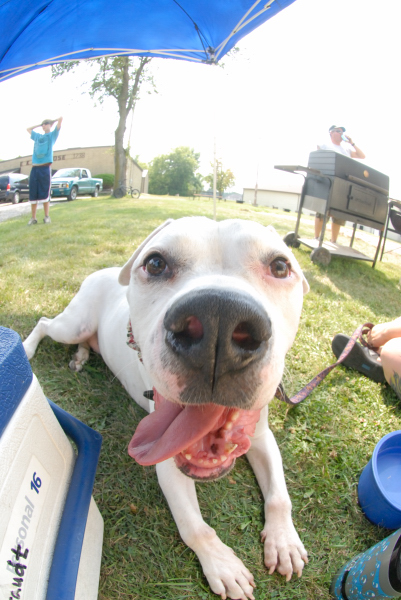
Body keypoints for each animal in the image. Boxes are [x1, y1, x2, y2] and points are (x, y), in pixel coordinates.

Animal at [22, 217, 310, 600]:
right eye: (156, 263)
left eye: (280, 266)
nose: (219, 320)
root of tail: (102, 271)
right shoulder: (165, 457)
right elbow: (194, 526)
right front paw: (224, 565)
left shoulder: (262, 438)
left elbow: (279, 495)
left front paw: (284, 542)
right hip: (72, 324)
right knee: (44, 322)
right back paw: (27, 348)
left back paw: (81, 357)